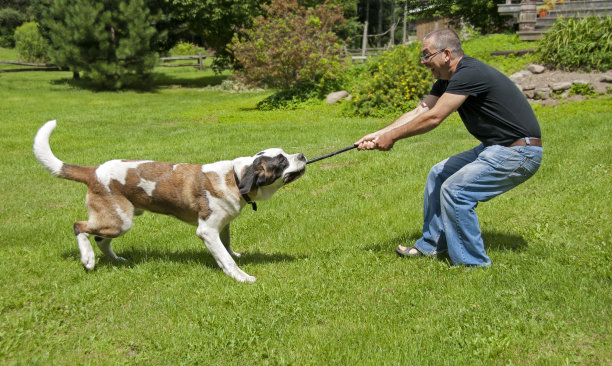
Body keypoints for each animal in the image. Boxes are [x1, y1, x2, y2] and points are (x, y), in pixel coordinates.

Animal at [33, 120, 306, 284]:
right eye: (281, 161)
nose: (303, 155)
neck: (236, 176)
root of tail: (94, 170)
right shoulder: (207, 230)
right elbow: (224, 257)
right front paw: (240, 276)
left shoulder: (223, 224)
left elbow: (227, 246)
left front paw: (235, 258)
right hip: (118, 220)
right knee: (80, 226)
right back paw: (88, 259)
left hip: (122, 219)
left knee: (100, 238)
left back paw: (117, 260)